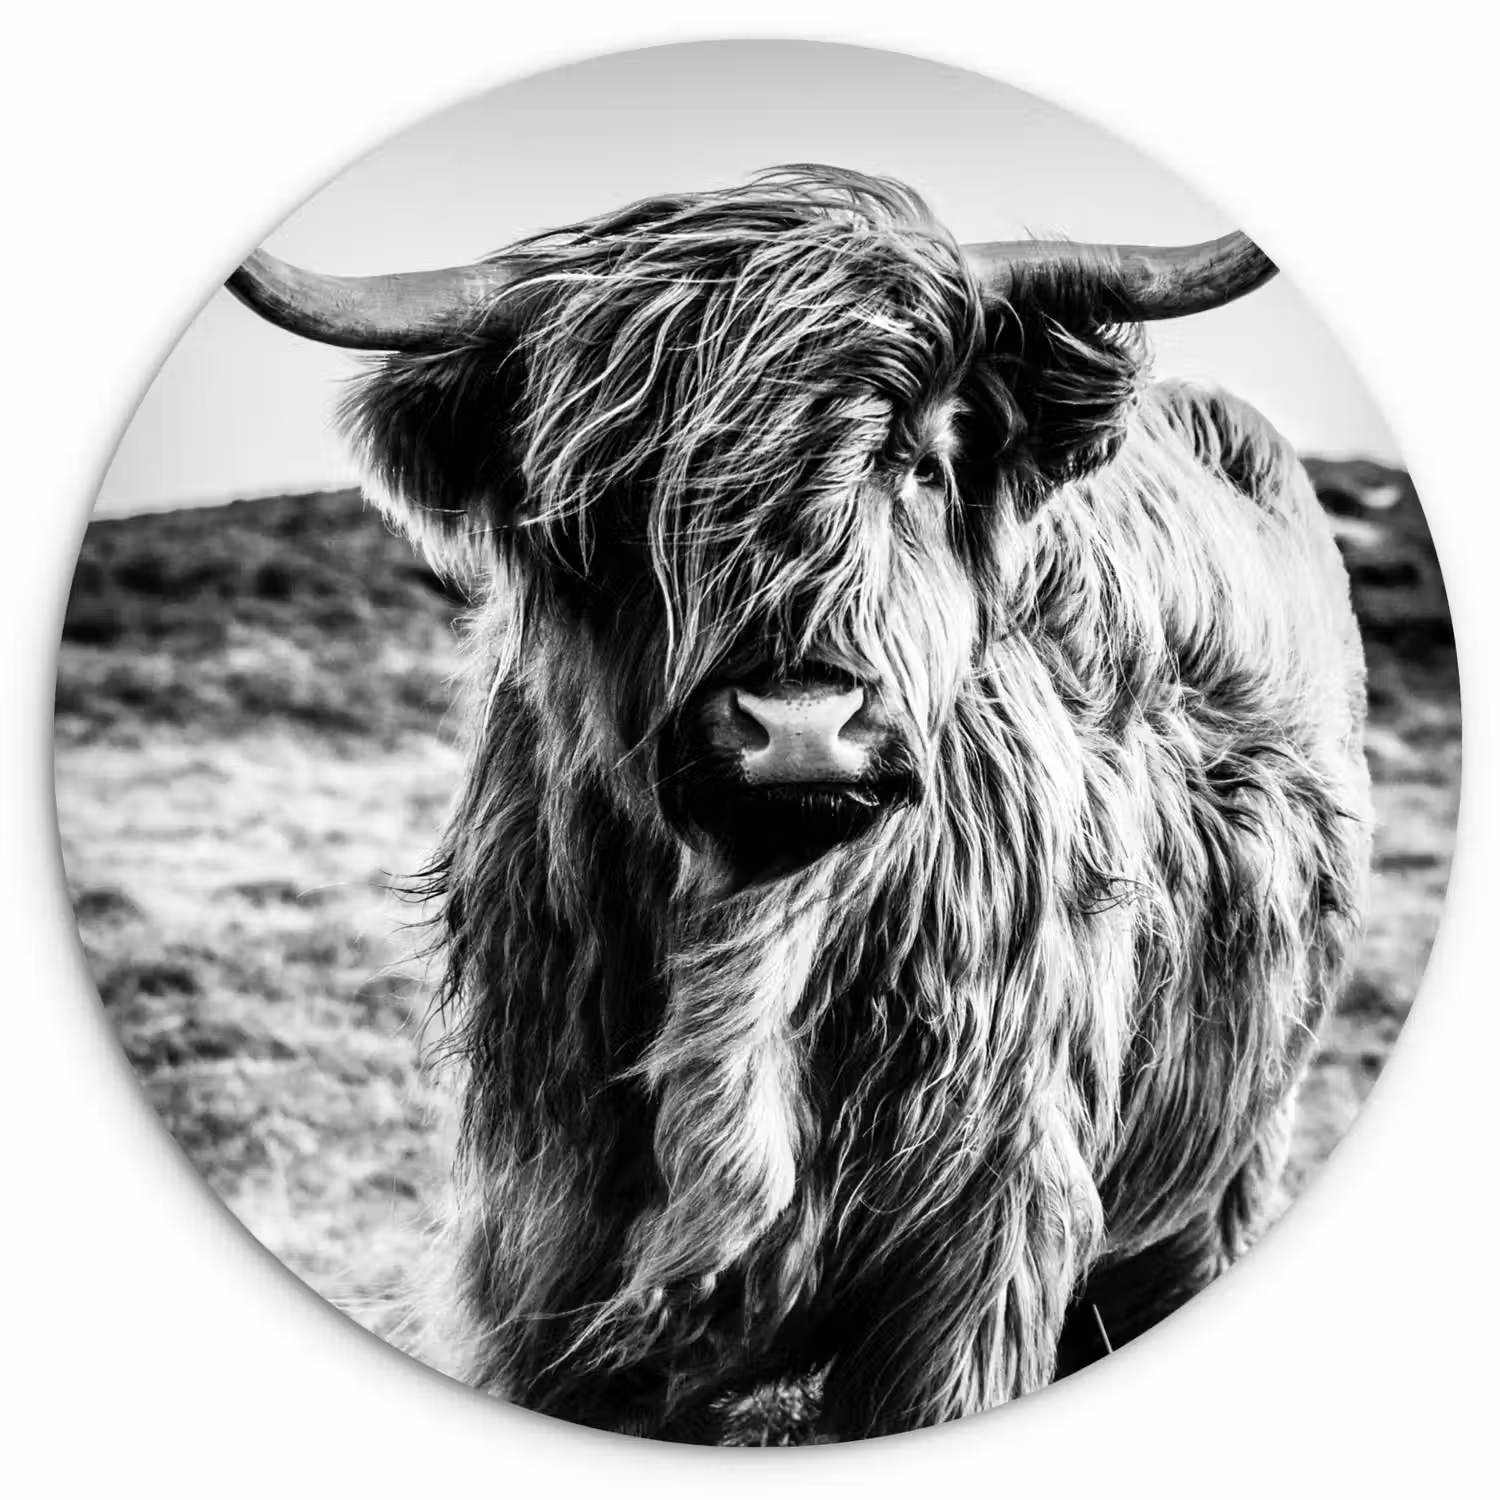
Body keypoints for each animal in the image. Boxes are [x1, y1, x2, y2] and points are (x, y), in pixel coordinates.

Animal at [228, 167, 1372, 1442]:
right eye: (622, 496)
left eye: (921, 463)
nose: (800, 722)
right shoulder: (548, 1249)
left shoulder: (981, 1245)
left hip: (1227, 1166)